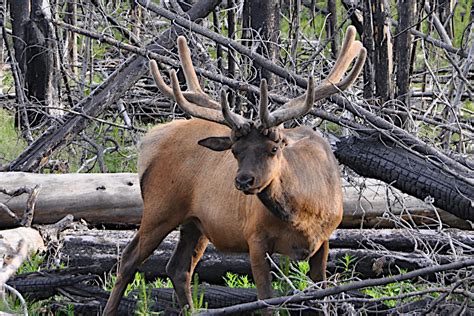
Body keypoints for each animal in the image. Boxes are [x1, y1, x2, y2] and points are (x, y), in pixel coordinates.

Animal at [105, 26, 366, 314]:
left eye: (274, 148)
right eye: (235, 151)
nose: (243, 181)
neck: (302, 214)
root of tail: (149, 140)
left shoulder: (325, 239)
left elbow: (322, 296)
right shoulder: (255, 237)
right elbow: (266, 301)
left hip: (195, 222)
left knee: (178, 268)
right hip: (160, 207)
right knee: (129, 259)